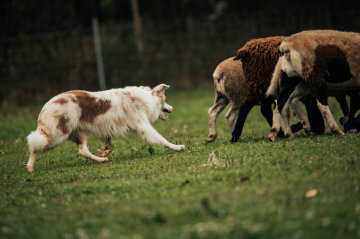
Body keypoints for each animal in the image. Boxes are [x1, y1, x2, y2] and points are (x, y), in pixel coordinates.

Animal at [26, 83, 184, 172]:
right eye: (165, 101)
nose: (172, 108)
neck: (143, 99)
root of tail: (45, 107)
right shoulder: (144, 128)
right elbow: (162, 140)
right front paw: (177, 147)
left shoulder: (103, 131)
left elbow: (109, 146)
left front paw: (102, 154)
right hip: (57, 136)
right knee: (35, 147)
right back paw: (30, 168)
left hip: (80, 133)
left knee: (82, 151)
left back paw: (100, 160)